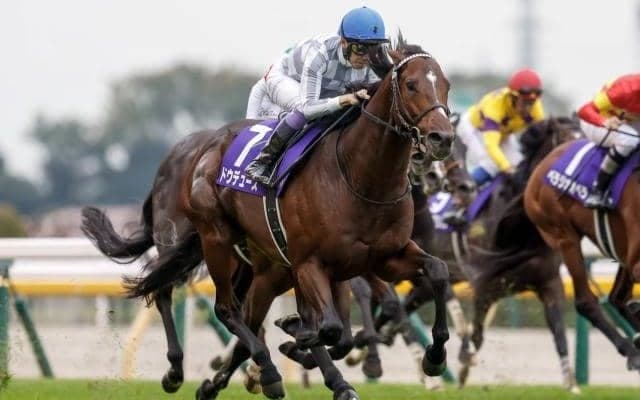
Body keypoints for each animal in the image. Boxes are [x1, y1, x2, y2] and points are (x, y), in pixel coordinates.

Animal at [83, 36, 455, 400]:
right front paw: (296, 340)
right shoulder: (310, 263)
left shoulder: (381, 258)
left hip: (261, 269)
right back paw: (206, 371)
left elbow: (435, 273)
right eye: (410, 84)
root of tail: (201, 150)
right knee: (213, 305)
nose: (442, 139)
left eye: (446, 85)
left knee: (250, 315)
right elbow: (330, 327)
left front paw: (434, 357)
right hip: (213, 239)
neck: (360, 178)